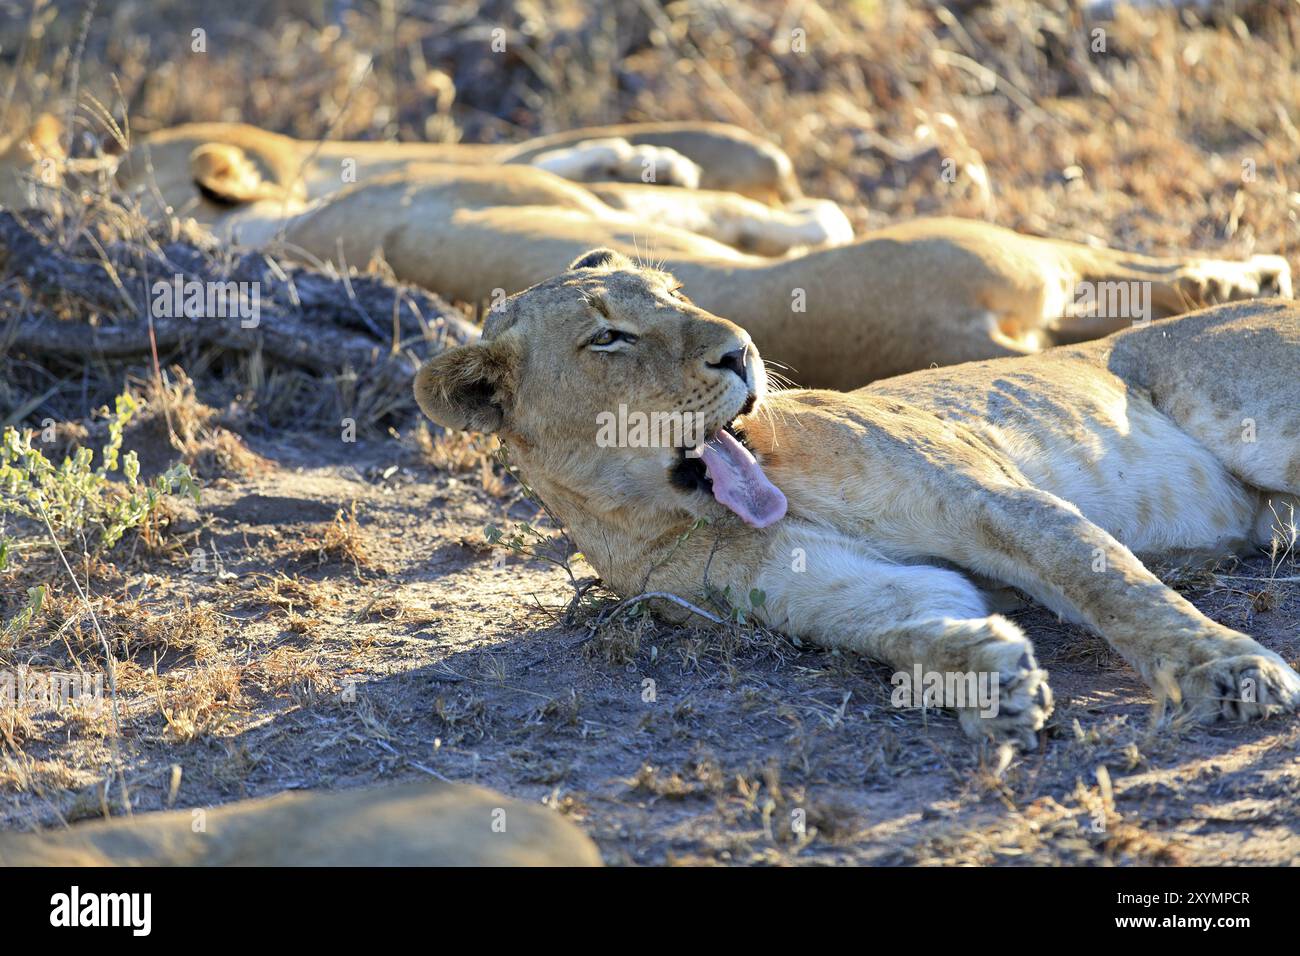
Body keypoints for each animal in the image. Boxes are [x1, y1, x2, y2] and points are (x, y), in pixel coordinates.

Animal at [413, 249, 1300, 748]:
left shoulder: (990, 499)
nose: (742, 349)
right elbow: (906, 630)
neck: (669, 515)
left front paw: (1229, 671)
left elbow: (1111, 586)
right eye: (607, 338)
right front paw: (989, 678)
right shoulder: (827, 592)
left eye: (675, 294)